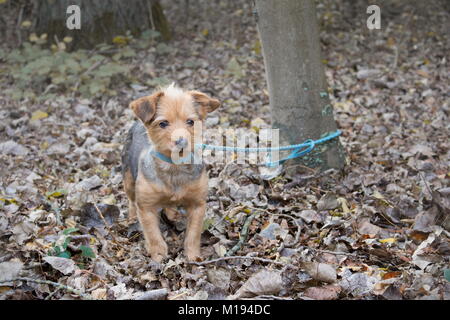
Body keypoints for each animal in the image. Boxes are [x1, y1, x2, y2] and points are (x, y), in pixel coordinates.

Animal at [122, 84, 221, 262]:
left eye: (190, 122)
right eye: (163, 123)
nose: (181, 141)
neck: (174, 167)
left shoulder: (198, 204)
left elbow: (193, 234)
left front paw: (193, 256)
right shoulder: (146, 207)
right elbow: (153, 235)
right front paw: (158, 256)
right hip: (128, 180)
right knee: (131, 201)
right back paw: (132, 218)